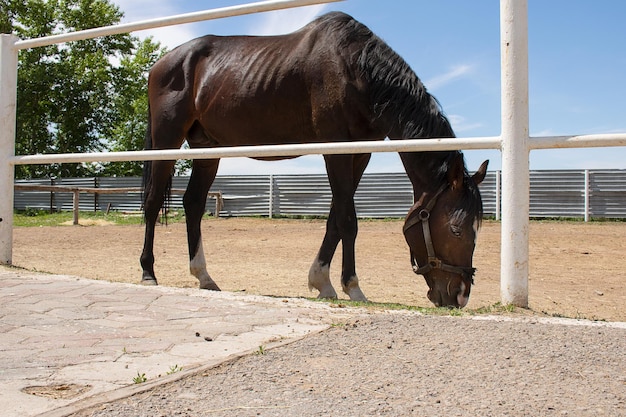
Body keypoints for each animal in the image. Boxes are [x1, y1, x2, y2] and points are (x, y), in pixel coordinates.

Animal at [141, 11, 488, 308]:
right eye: (456, 229)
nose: (460, 296)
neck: (356, 71)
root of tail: (162, 63)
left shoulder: (360, 153)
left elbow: (335, 218)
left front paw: (322, 281)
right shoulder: (335, 150)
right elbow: (348, 220)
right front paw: (352, 287)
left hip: (206, 148)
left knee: (193, 203)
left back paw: (204, 277)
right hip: (167, 141)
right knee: (154, 200)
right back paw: (148, 273)